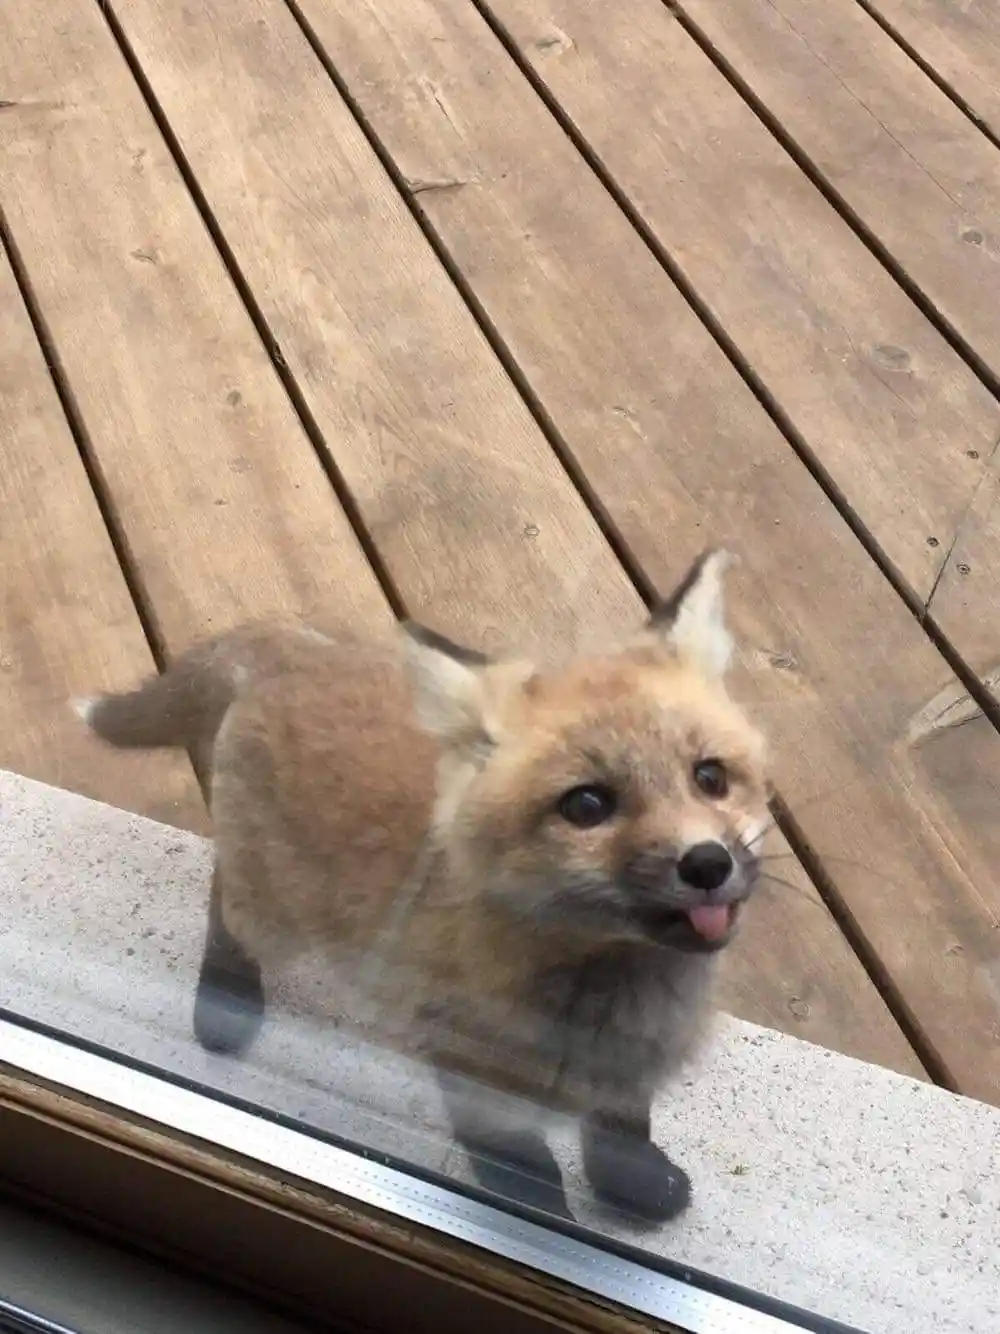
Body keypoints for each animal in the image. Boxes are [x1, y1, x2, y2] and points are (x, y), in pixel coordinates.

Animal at [76, 549, 770, 1225]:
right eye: (587, 805)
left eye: (710, 777)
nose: (706, 864)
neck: (608, 1000)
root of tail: (294, 651)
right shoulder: (476, 1082)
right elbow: (528, 1180)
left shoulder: (626, 1076)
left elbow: (621, 1133)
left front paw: (634, 1187)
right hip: (273, 915)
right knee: (225, 903)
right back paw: (226, 1001)